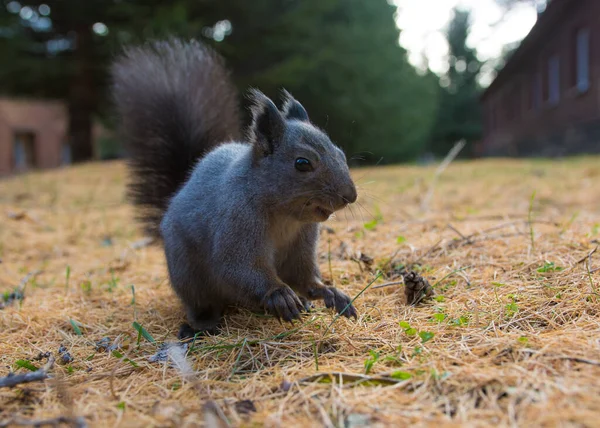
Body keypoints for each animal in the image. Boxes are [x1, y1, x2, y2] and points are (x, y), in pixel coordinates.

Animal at [110, 38, 358, 336]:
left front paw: (330, 293)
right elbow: (236, 267)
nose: (350, 196)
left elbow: (303, 277)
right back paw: (201, 326)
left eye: (341, 153)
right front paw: (279, 295)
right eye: (302, 163)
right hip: (188, 275)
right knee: (201, 304)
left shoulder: (302, 240)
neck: (284, 215)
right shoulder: (236, 222)